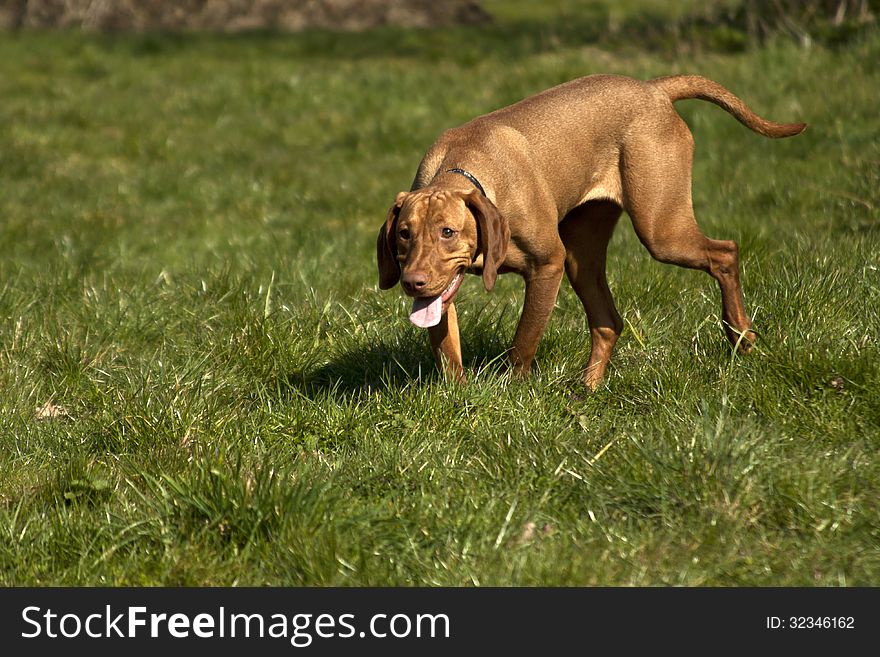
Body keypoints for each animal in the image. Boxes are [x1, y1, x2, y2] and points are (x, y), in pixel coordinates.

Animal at [376, 74, 804, 386]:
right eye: (404, 234)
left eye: (448, 232)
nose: (412, 282)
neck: (467, 168)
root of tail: (655, 88)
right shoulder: (442, 293)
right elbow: (448, 354)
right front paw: (460, 398)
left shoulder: (548, 265)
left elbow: (522, 345)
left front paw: (513, 394)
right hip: (583, 255)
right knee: (609, 322)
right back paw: (588, 389)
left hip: (660, 230)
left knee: (725, 252)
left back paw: (741, 338)